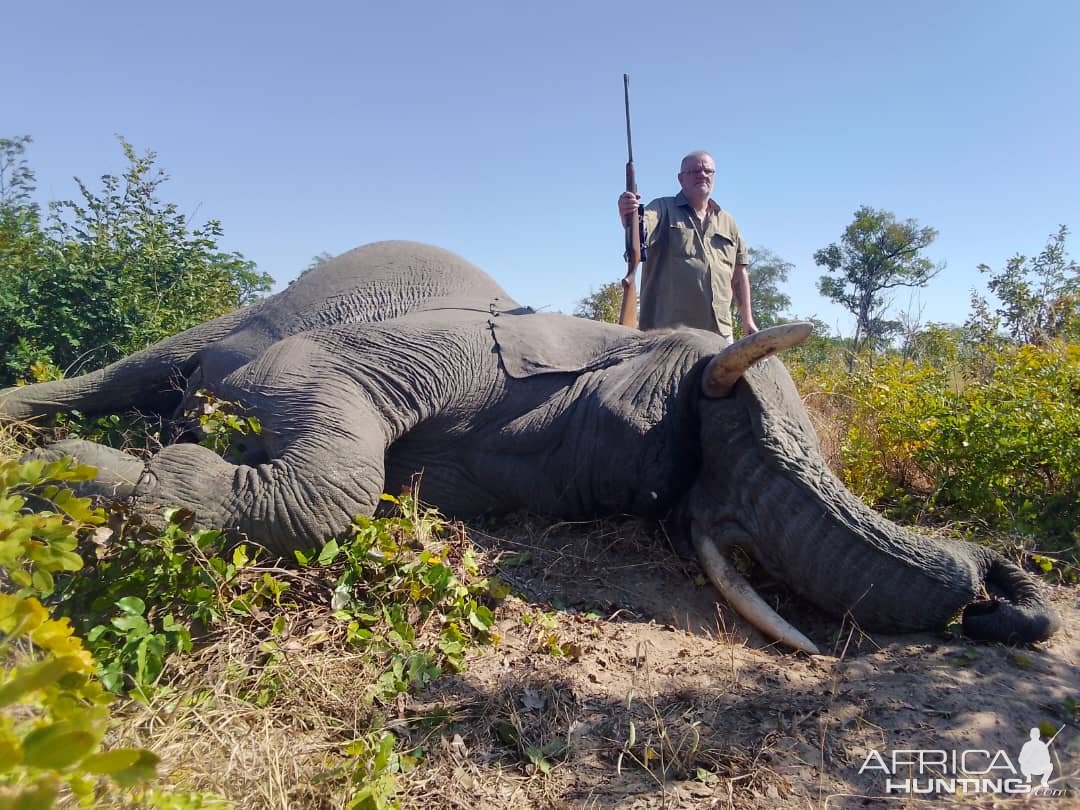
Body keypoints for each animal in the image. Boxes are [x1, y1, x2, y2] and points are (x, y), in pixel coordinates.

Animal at [0, 239, 1058, 652]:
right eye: (703, 413)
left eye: (661, 496)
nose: (1001, 592)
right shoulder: (452, 346)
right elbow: (318, 426)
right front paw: (82, 472)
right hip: (238, 314)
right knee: (135, 370)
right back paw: (36, 441)